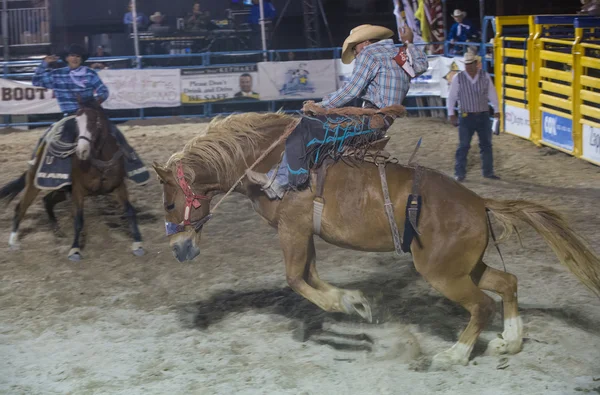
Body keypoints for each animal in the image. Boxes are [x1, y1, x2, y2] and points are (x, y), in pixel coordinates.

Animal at [0, 100, 145, 260]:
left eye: (95, 121)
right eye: (77, 123)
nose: (81, 151)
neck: (99, 161)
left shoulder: (118, 186)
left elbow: (130, 211)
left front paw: (138, 243)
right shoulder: (78, 190)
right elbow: (78, 219)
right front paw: (75, 249)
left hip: (61, 189)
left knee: (47, 200)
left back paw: (57, 231)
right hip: (34, 183)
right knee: (21, 207)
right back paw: (13, 241)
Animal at [151, 110, 600, 372]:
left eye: (170, 202)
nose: (179, 250)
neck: (268, 160)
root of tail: (479, 202)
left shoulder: (292, 229)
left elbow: (296, 279)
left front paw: (346, 307)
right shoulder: (305, 233)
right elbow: (311, 275)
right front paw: (356, 302)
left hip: (442, 273)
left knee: (482, 305)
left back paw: (453, 355)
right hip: (465, 266)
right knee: (507, 283)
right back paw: (510, 342)